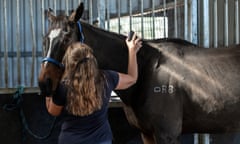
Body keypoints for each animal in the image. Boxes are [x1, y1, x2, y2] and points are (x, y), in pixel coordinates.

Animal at [38, 2, 240, 144]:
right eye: (45, 39)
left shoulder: (167, 134)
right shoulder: (147, 134)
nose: (44, 83)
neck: (146, 69)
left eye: (66, 39)